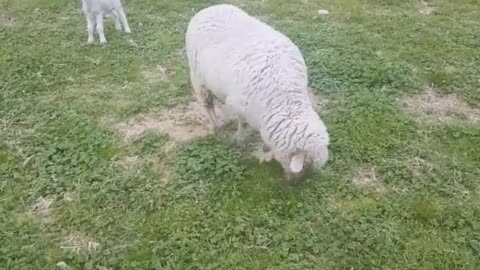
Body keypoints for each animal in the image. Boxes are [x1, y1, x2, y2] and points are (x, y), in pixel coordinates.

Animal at [185, 4, 330, 182]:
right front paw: (239, 139)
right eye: (306, 165)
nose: (293, 184)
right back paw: (216, 125)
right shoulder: (240, 107)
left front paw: (266, 150)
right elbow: (243, 125)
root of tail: (210, 7)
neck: (283, 97)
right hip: (198, 78)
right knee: (208, 105)